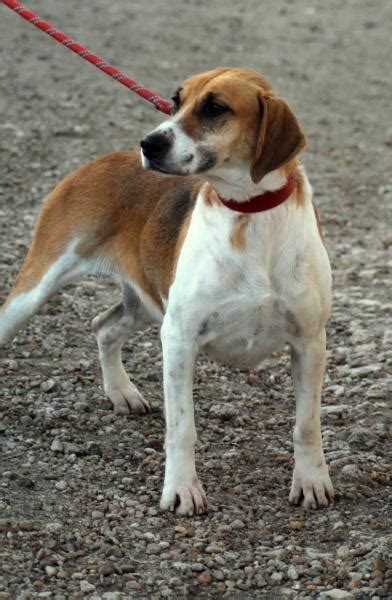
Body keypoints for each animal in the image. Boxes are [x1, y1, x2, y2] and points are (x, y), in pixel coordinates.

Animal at [0, 67, 334, 516]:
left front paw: (312, 480)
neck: (248, 212)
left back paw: (121, 392)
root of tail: (101, 160)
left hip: (147, 300)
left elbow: (307, 425)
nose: (149, 143)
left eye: (215, 108)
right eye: (175, 102)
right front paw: (181, 489)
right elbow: (182, 427)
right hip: (36, 291)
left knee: (104, 326)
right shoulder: (179, 338)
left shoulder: (310, 342)